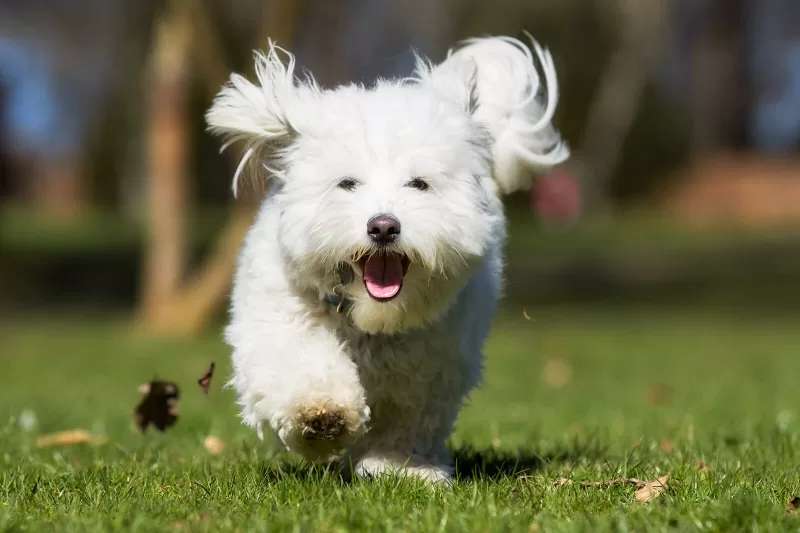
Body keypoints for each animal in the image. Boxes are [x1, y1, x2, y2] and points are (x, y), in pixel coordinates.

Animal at [206, 33, 568, 482]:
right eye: (346, 183)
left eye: (419, 184)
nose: (382, 227)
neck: (371, 318)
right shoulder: (280, 321)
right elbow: (300, 364)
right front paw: (321, 414)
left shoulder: (432, 362)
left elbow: (408, 417)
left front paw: (402, 466)